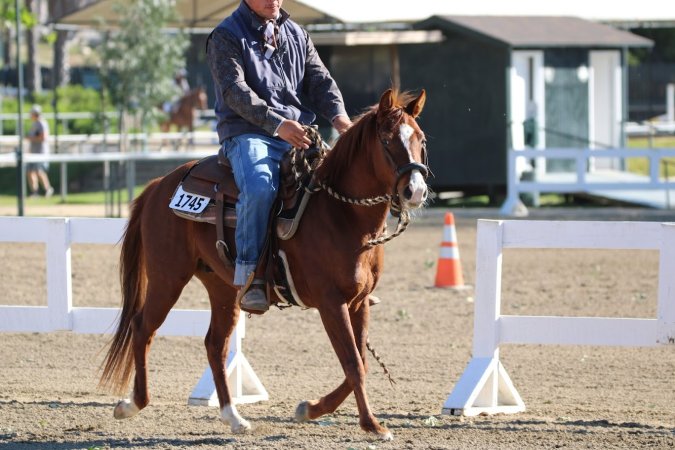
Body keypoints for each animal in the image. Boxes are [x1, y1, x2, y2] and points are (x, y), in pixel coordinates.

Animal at [99, 88, 429, 441]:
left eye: (420, 139)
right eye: (386, 140)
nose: (416, 191)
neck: (340, 214)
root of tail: (160, 184)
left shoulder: (359, 302)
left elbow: (361, 362)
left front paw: (311, 408)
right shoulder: (331, 303)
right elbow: (353, 362)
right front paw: (372, 424)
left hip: (222, 289)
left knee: (215, 345)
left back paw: (233, 417)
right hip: (167, 277)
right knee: (142, 328)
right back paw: (131, 404)